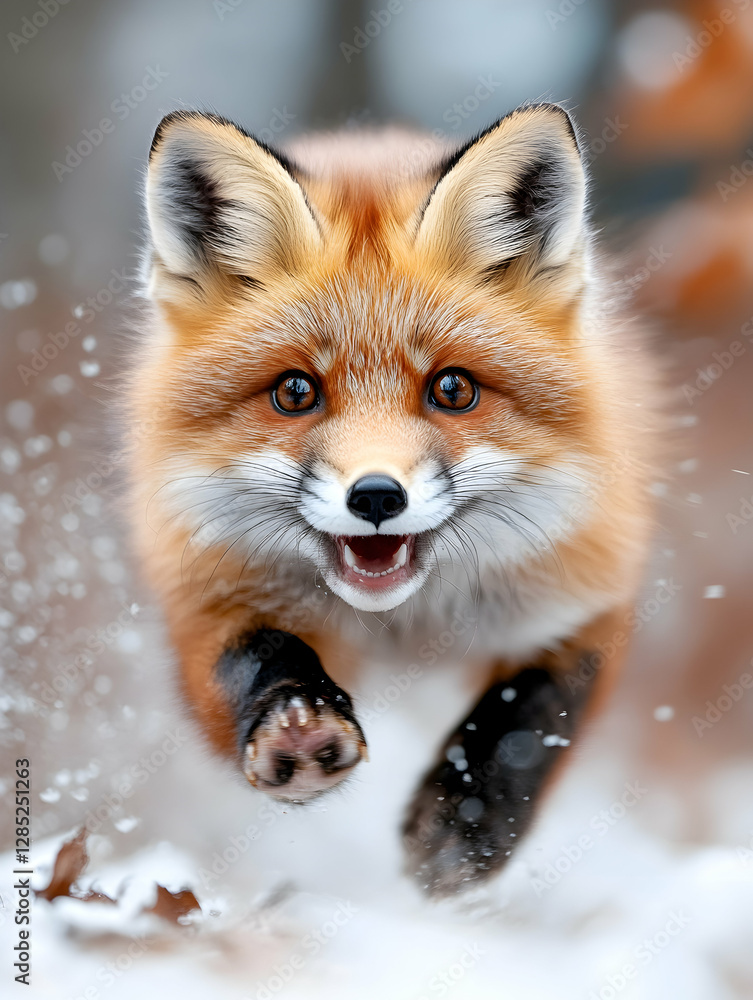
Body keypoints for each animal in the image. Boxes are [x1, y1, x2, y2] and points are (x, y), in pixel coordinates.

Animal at [126, 103, 655, 896]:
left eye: (452, 389)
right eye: (294, 392)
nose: (376, 496)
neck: (403, 626)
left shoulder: (583, 595)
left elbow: (529, 719)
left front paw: (466, 823)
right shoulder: (208, 595)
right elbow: (255, 657)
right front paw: (299, 721)